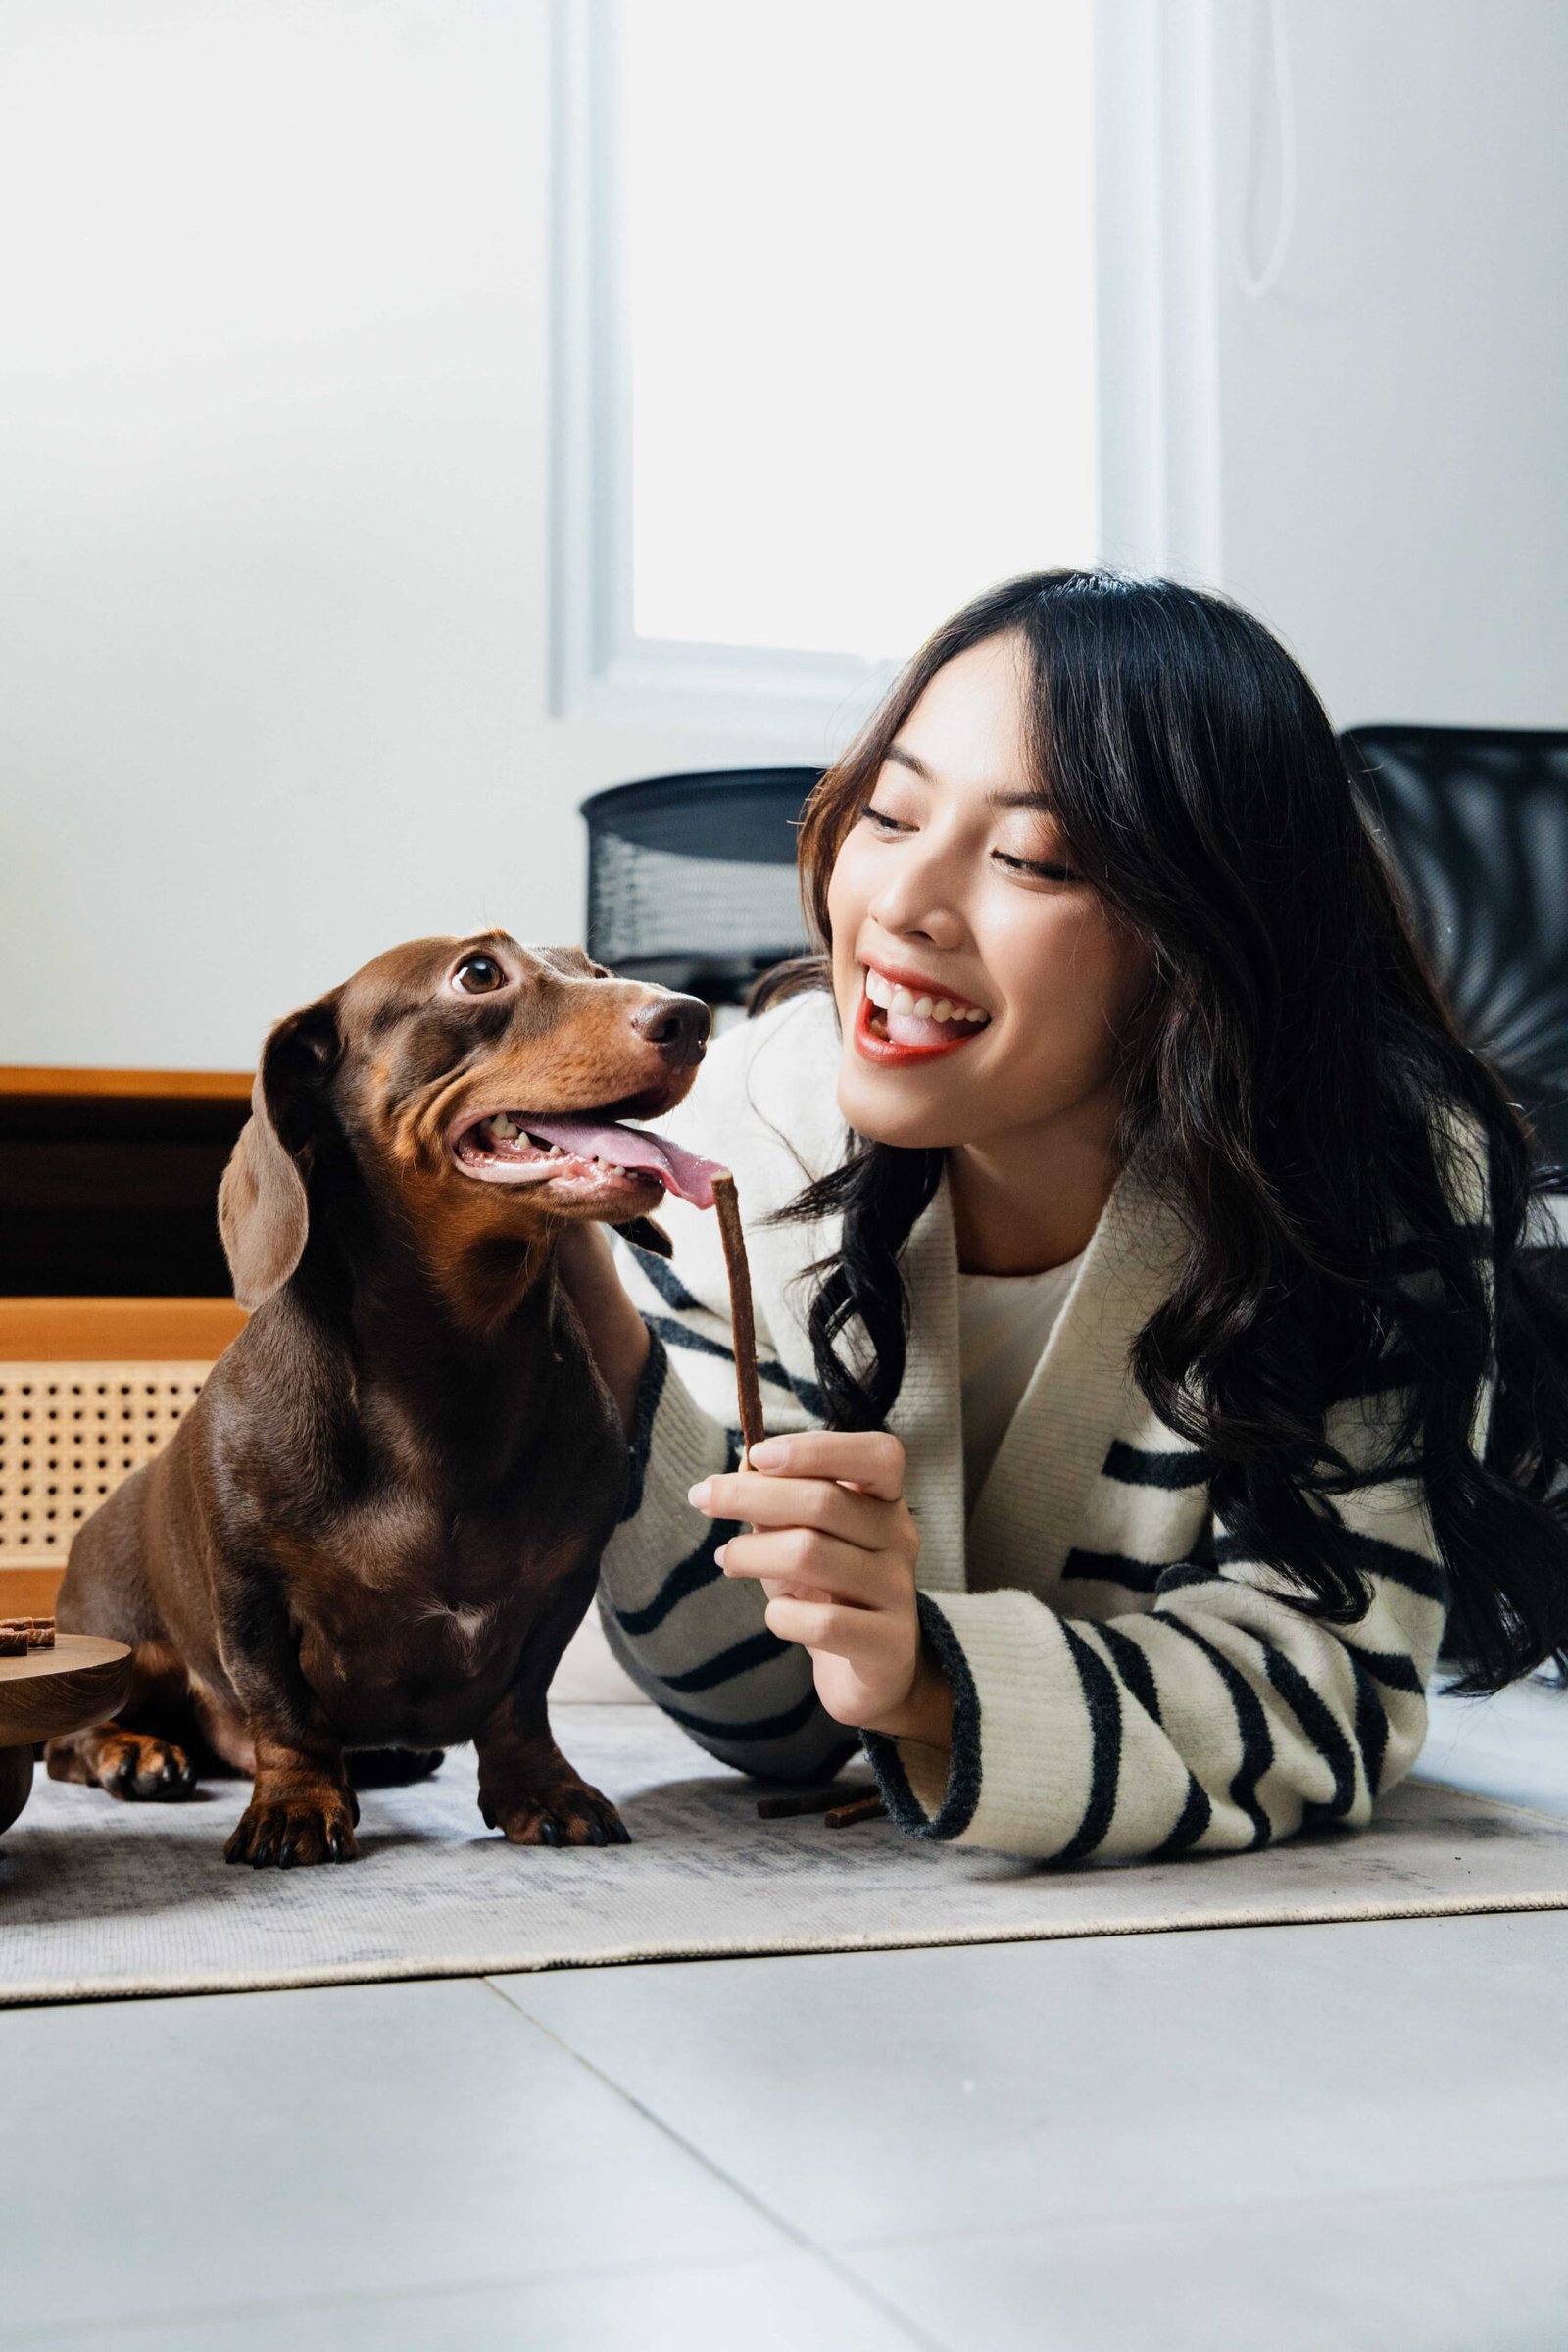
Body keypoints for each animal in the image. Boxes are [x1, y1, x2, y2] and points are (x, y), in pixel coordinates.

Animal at [45, 933, 719, 1864]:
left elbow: (521, 1705)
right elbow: (284, 1712)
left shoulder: (560, 1588)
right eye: (478, 973)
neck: (453, 1366)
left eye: (600, 971)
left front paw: (542, 1791)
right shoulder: (252, 1597)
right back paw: (139, 1754)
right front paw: (295, 1806)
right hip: (123, 1648)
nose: (692, 1018)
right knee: (74, 1740)